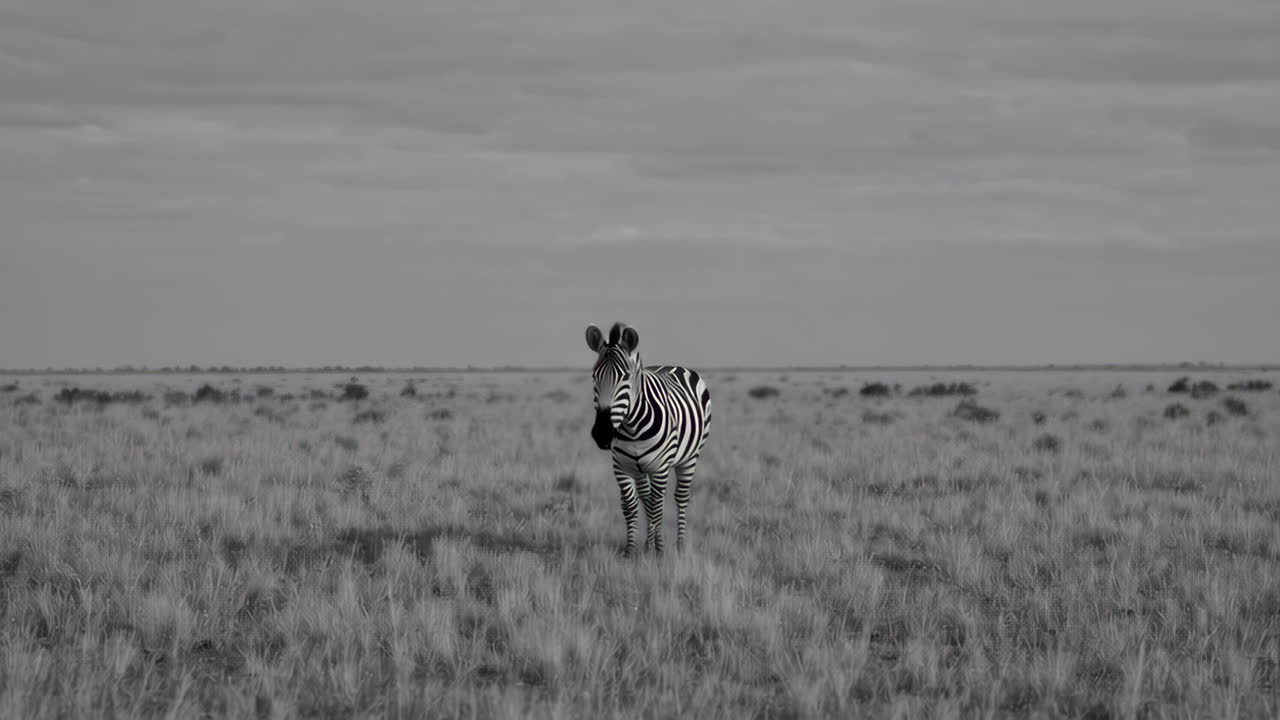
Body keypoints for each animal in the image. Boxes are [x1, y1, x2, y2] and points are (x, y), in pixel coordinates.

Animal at [585, 322, 712, 556]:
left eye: (625, 377)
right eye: (594, 376)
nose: (602, 433)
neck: (632, 428)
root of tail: (671, 365)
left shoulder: (660, 467)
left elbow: (657, 508)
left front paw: (658, 551)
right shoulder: (621, 467)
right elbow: (631, 507)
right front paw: (632, 550)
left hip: (689, 458)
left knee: (679, 497)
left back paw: (679, 545)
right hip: (640, 468)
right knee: (646, 497)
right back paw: (649, 543)